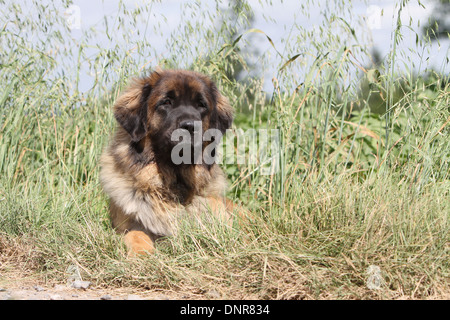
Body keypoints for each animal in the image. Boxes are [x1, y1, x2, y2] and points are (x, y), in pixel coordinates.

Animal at [100, 70, 236, 255]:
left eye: (201, 105)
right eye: (166, 102)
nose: (190, 126)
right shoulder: (127, 225)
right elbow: (136, 235)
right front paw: (142, 255)